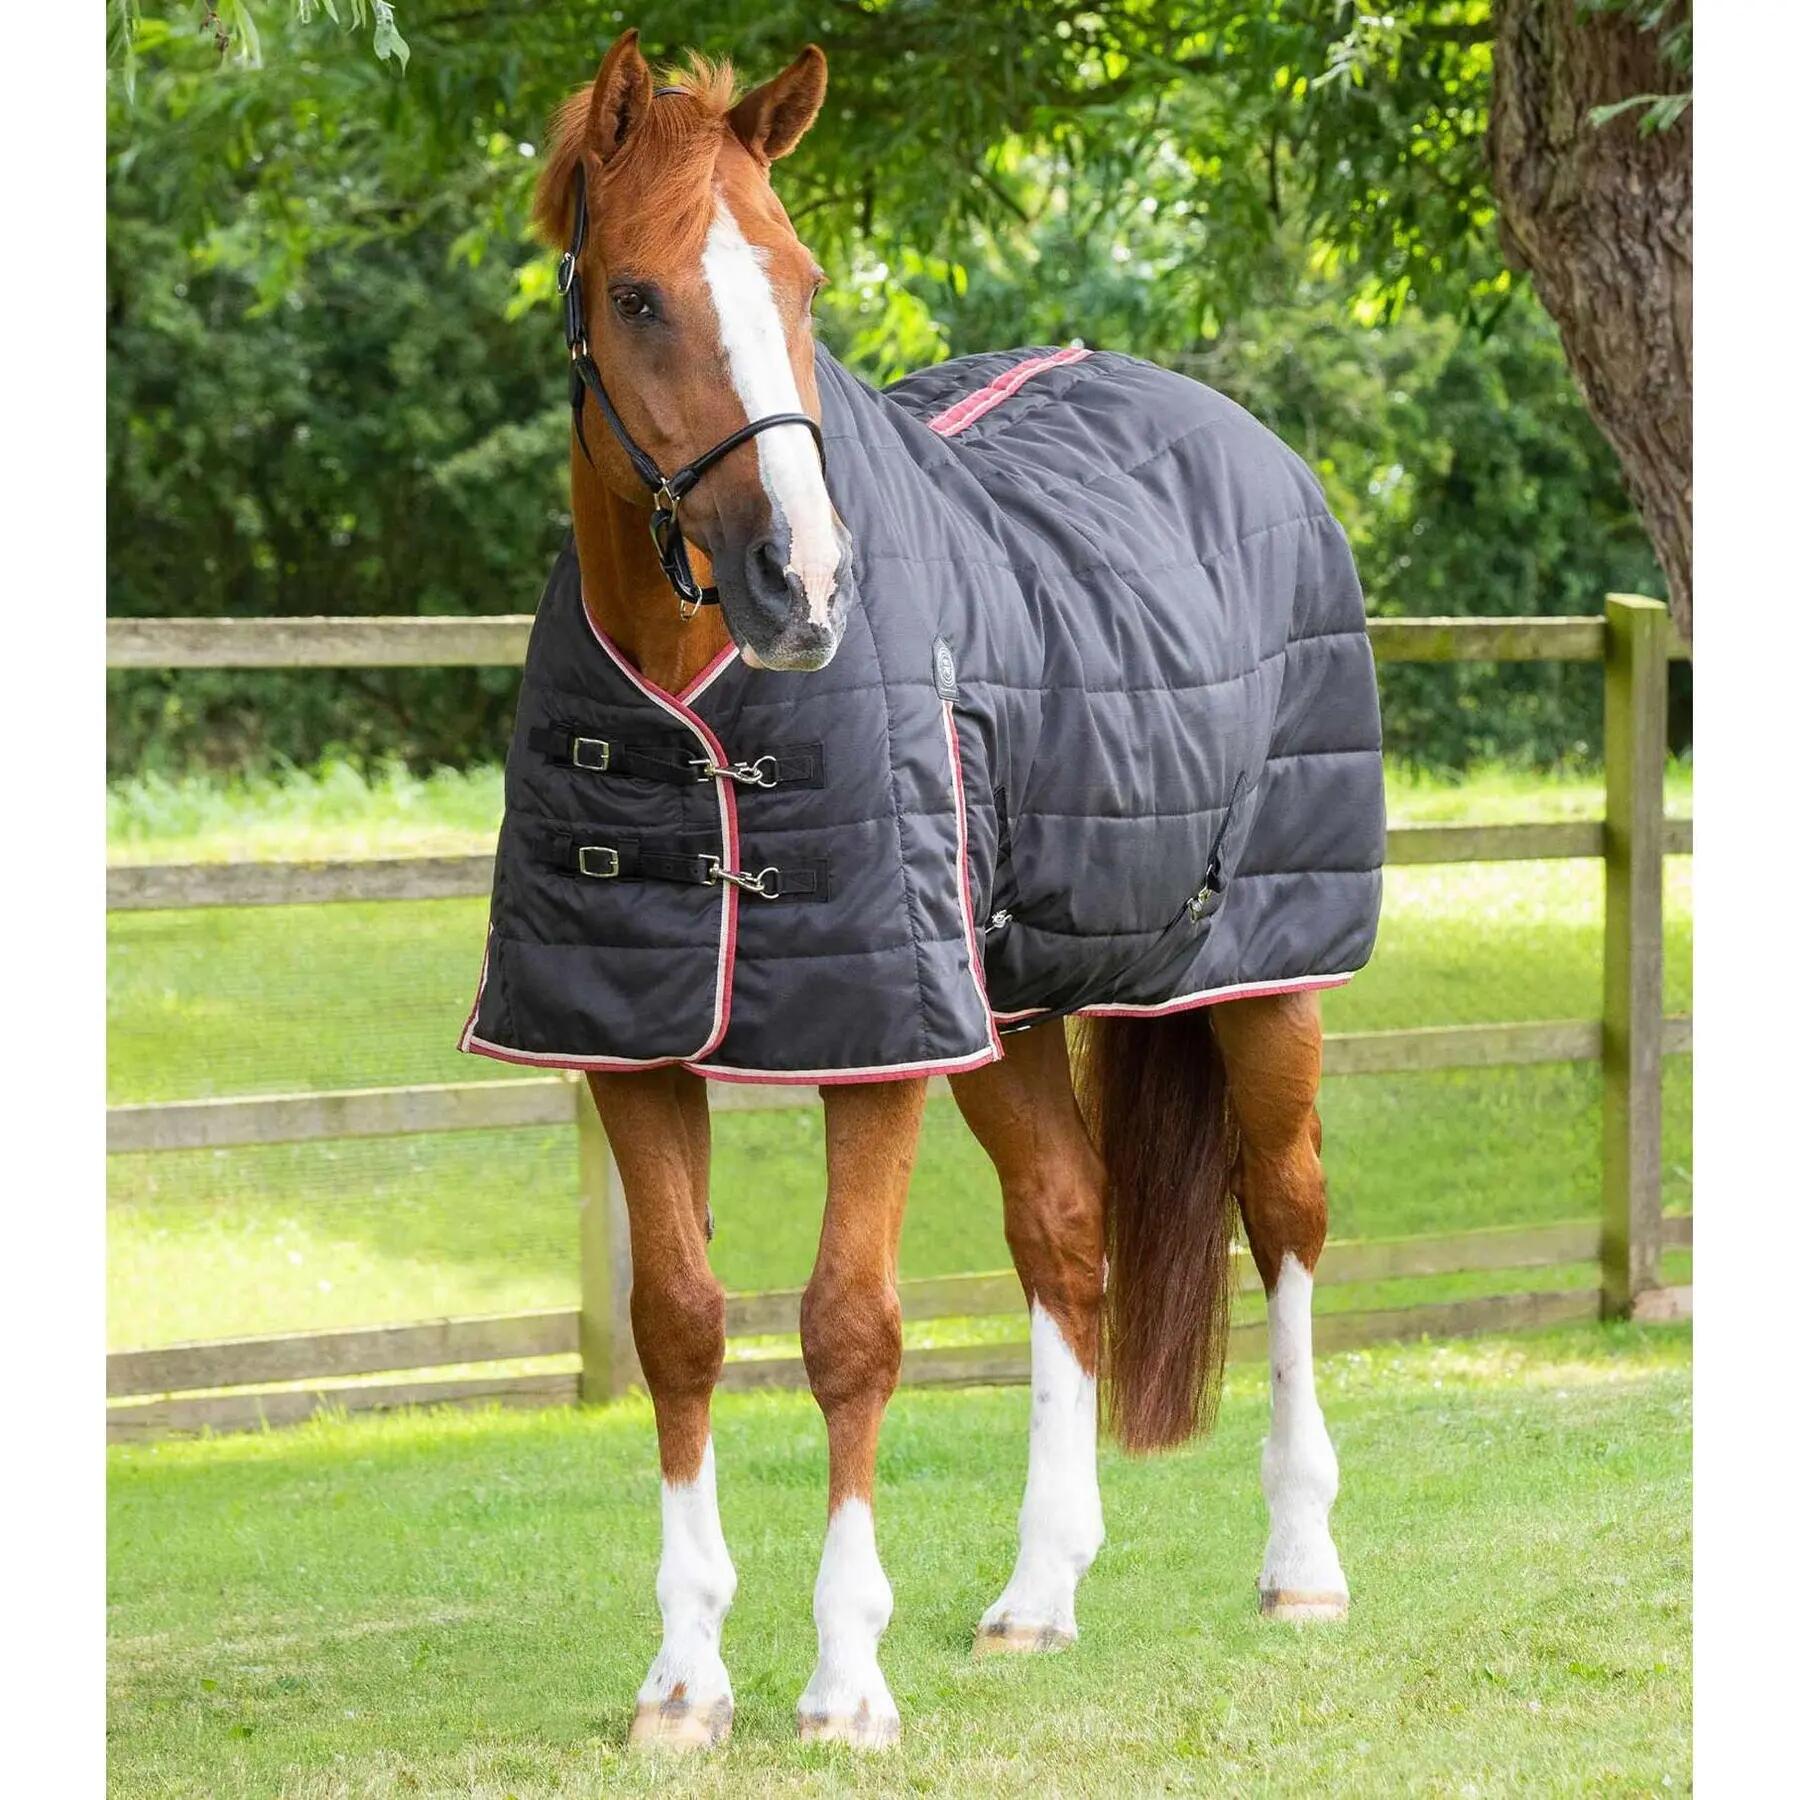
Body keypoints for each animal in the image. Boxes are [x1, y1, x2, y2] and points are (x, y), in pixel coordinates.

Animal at [506, 30, 1363, 1751]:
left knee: (1287, 1213)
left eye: (801, 281)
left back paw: (1303, 1564)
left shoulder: (877, 1038)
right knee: (1067, 1231)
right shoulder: (629, 1042)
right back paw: (1038, 1594)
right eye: (636, 295)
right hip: (1013, 1009)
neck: (702, 706)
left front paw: (844, 1680)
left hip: (1268, 973)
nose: (805, 585)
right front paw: (685, 1680)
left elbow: (852, 1329)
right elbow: (678, 1323)